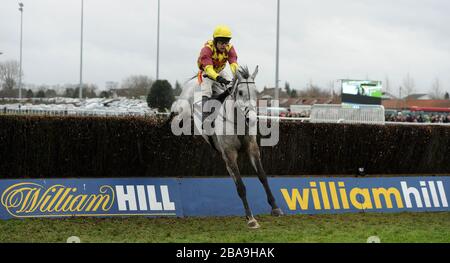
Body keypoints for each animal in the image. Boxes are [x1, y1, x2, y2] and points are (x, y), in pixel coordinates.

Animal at [171, 66, 284, 229]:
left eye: (256, 92)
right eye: (241, 92)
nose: (252, 118)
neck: (237, 122)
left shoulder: (252, 149)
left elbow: (262, 176)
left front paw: (275, 207)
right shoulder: (230, 154)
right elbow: (241, 187)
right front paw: (251, 218)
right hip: (184, 110)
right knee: (177, 117)